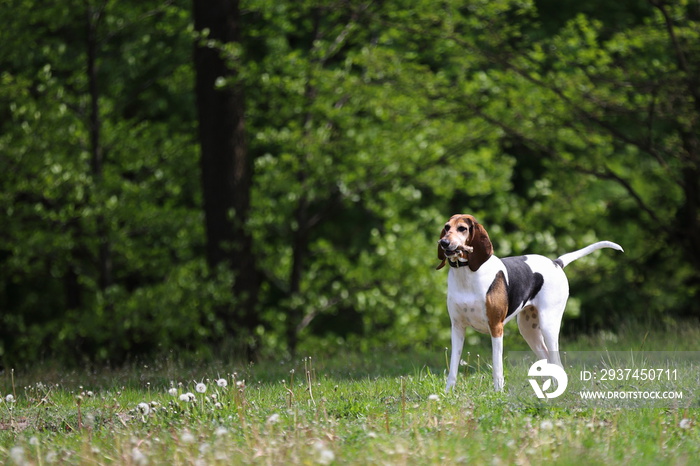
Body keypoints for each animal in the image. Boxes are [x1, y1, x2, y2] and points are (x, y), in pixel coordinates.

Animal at [438, 213, 624, 392]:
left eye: (462, 228)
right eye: (446, 227)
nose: (444, 242)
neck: (466, 274)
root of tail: (556, 263)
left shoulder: (496, 328)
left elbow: (497, 368)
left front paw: (498, 393)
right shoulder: (457, 327)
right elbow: (453, 368)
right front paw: (448, 393)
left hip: (548, 326)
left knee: (556, 361)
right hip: (529, 330)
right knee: (549, 360)